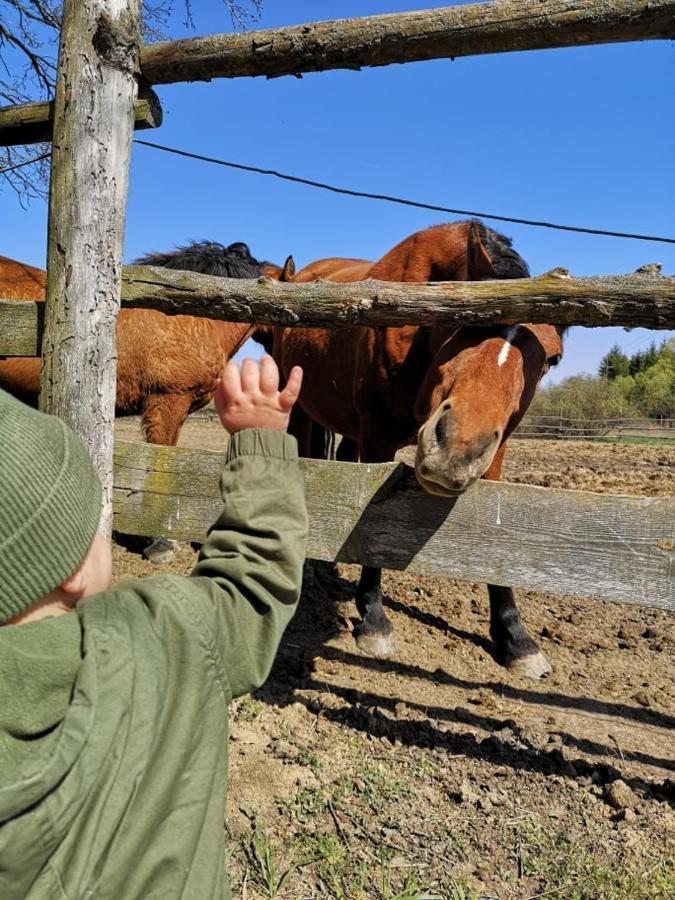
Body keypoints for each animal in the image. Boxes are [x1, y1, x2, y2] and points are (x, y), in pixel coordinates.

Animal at [274, 221, 564, 680]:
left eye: (552, 359)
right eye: (466, 325)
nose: (457, 449)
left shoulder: (494, 457)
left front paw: (516, 638)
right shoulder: (377, 439)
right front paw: (373, 619)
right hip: (300, 407)